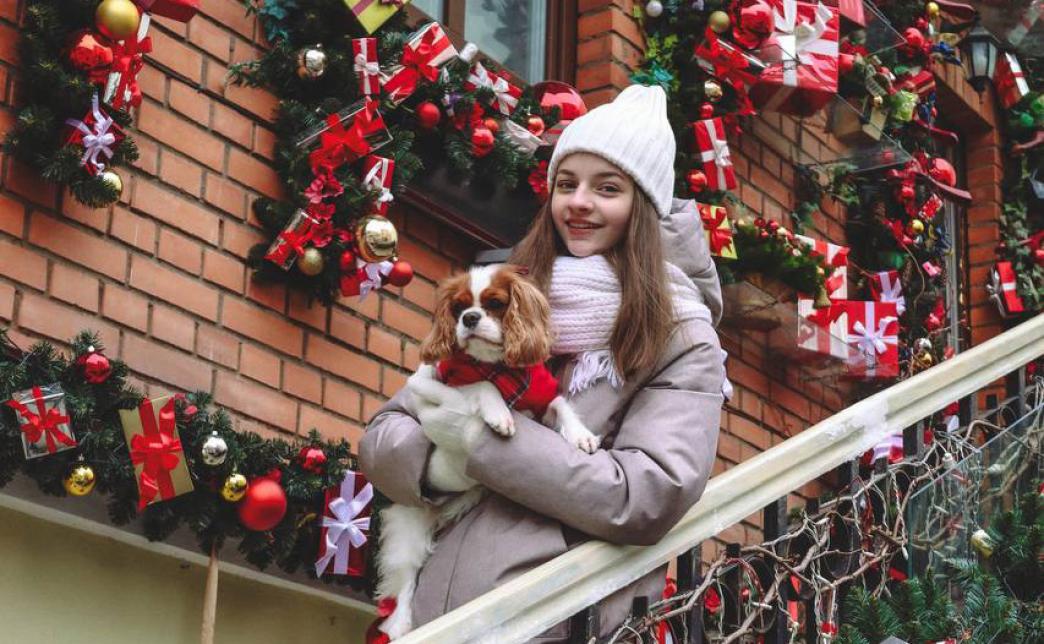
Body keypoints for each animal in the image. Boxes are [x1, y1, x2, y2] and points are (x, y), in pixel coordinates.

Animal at [375, 263, 599, 640]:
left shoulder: (542, 394)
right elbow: (481, 384)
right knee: (406, 579)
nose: (470, 318)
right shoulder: (433, 382)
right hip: (410, 523)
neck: (498, 366)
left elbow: (561, 405)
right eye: (458, 308)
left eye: (495, 303)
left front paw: (581, 436)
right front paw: (499, 414)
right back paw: (402, 623)